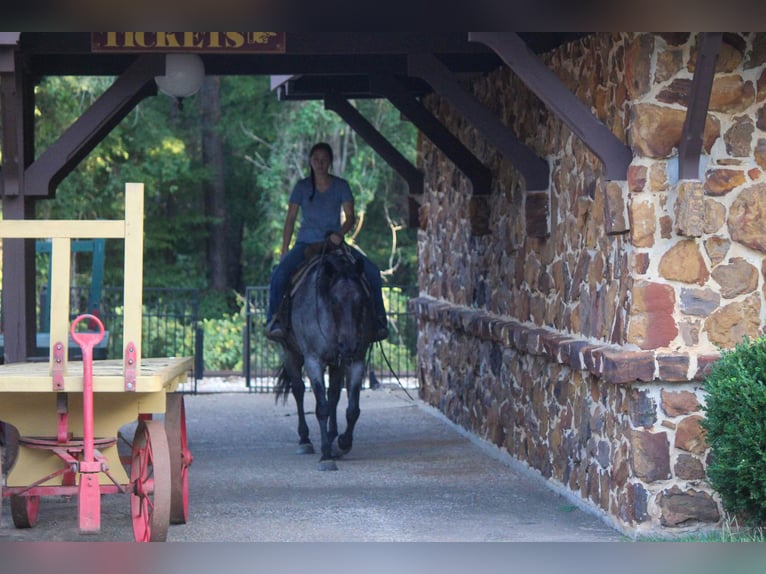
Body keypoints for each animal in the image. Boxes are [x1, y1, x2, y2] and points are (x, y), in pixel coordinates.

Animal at [276, 244, 378, 472]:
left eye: (361, 300)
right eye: (334, 300)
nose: (349, 345)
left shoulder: (356, 361)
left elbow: (352, 409)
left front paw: (341, 444)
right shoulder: (313, 361)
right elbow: (321, 407)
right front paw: (325, 455)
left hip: (337, 363)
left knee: (333, 396)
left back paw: (331, 437)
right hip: (290, 353)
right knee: (298, 391)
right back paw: (305, 440)